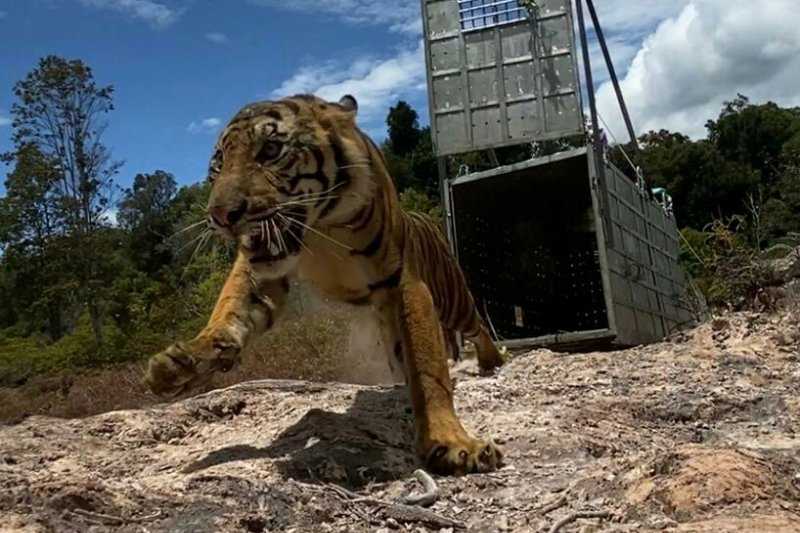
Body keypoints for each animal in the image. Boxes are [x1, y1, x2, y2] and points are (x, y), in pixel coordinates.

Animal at [145, 94, 506, 474]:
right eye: (217, 165)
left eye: (271, 150)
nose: (220, 216)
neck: (321, 226)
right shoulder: (261, 271)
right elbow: (229, 312)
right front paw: (182, 363)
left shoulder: (405, 283)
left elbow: (428, 368)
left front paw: (452, 442)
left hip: (452, 298)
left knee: (476, 324)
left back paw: (492, 362)